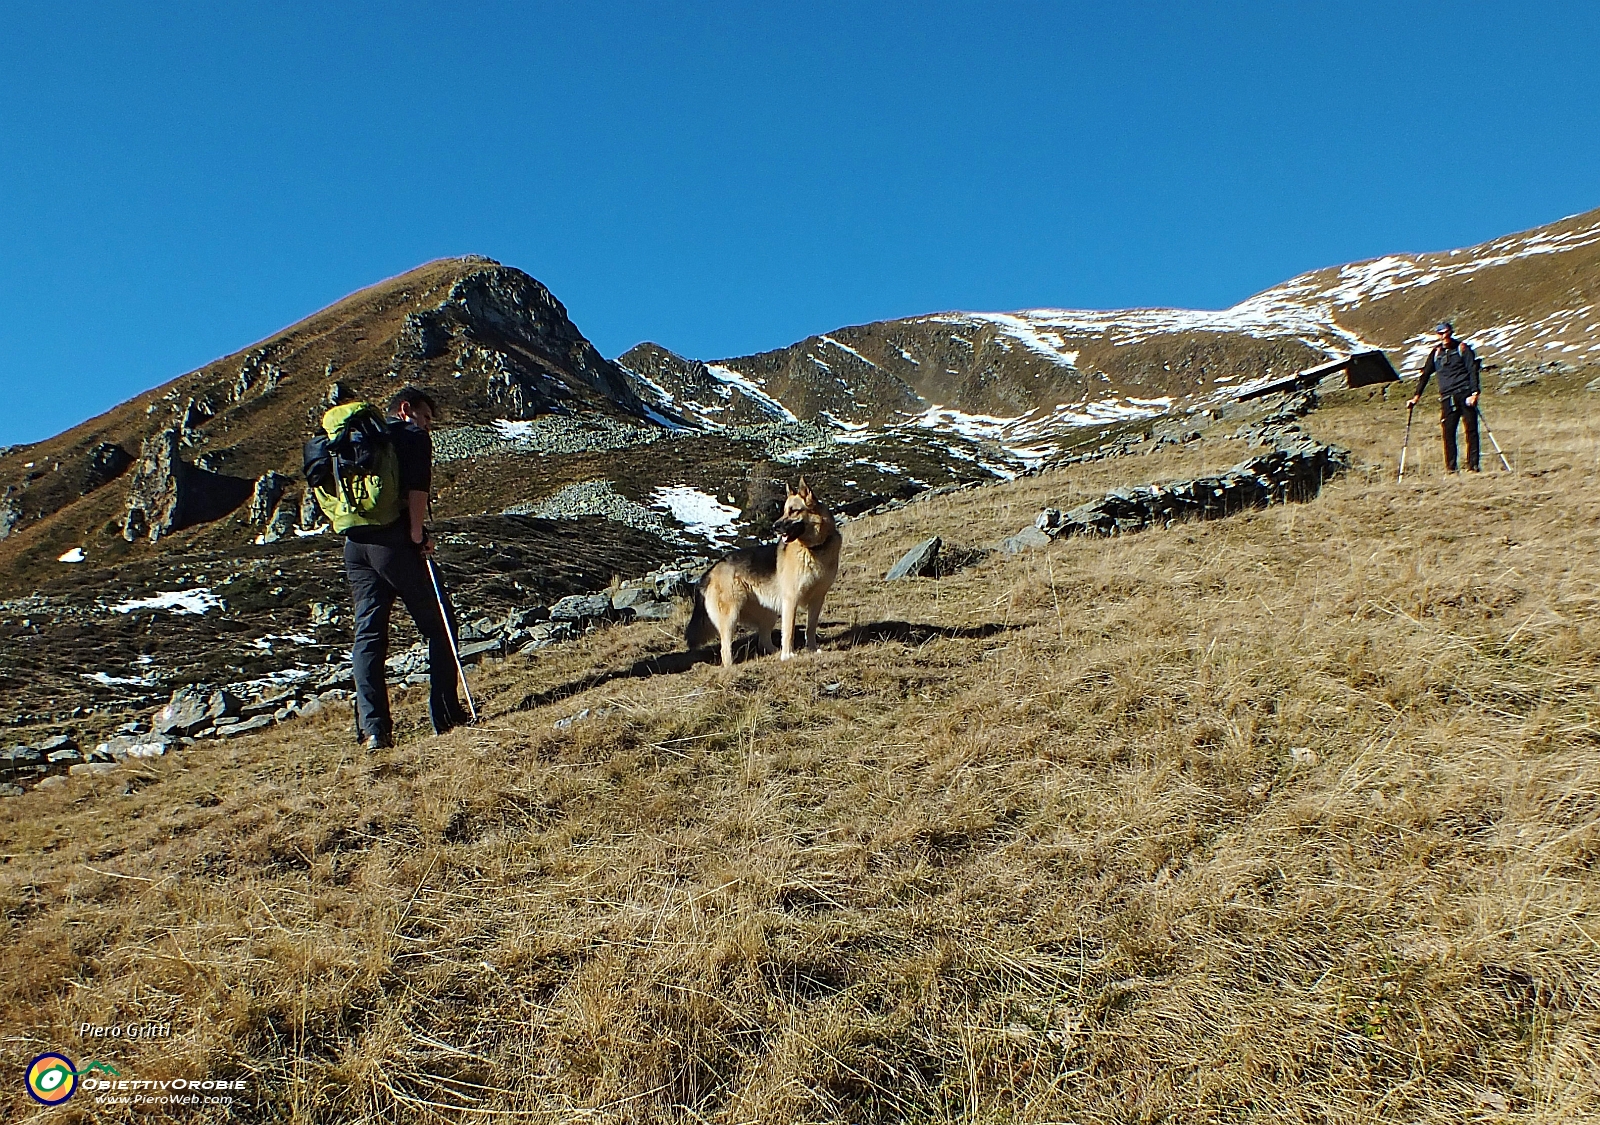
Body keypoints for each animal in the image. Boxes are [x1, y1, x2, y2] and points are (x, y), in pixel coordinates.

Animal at [684, 476, 844, 668]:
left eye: (793, 511)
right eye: (784, 511)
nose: (775, 526)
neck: (814, 548)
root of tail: (711, 571)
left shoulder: (817, 599)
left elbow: (810, 628)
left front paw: (812, 649)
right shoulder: (791, 599)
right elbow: (789, 631)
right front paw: (788, 655)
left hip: (769, 613)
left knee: (763, 641)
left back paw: (774, 653)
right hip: (731, 616)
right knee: (725, 649)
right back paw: (733, 667)